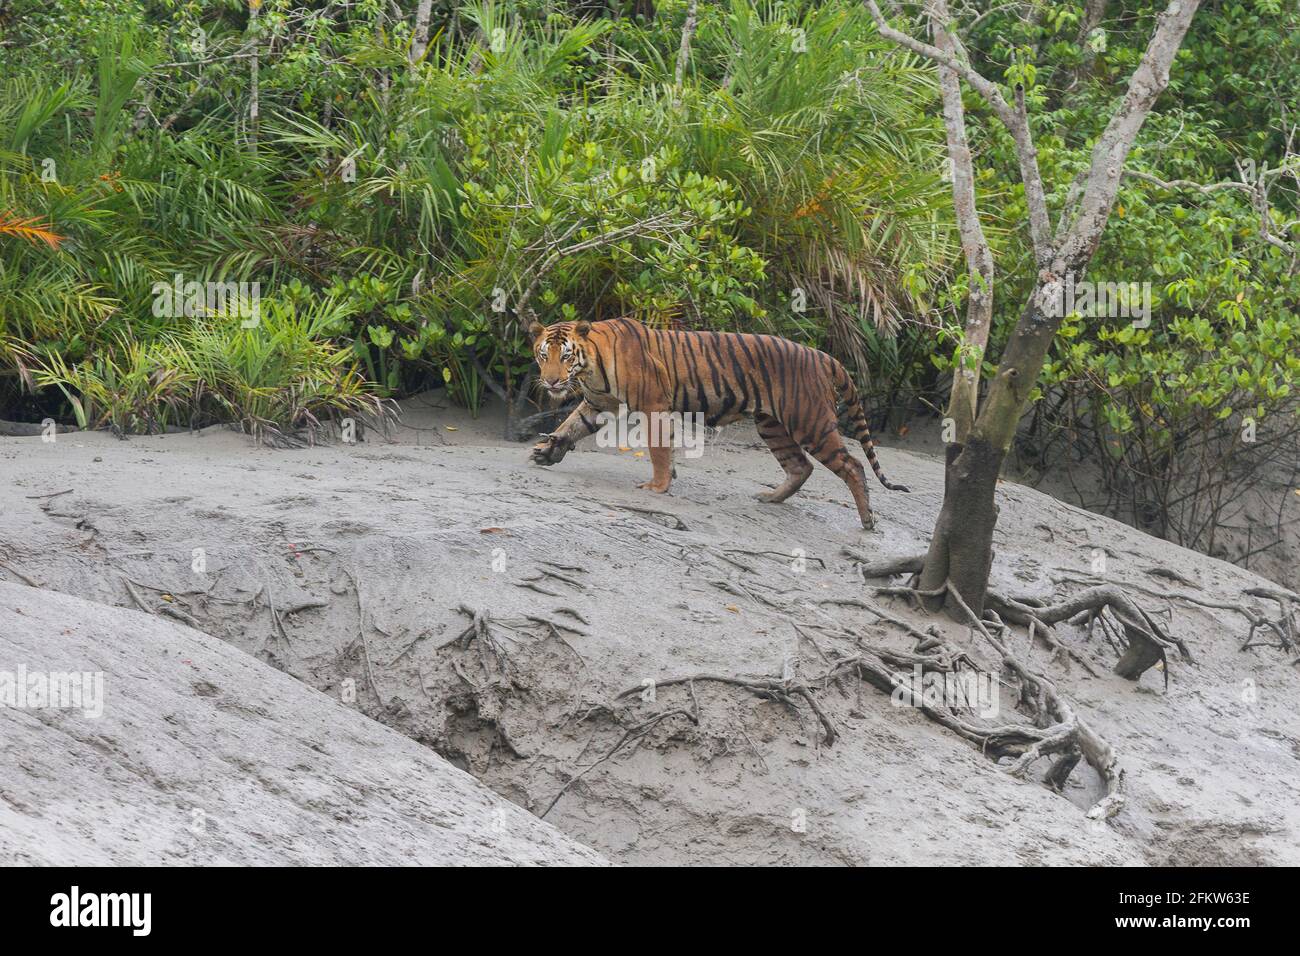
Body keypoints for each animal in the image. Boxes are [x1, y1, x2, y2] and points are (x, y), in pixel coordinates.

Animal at [522, 319, 909, 530]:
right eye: (543, 355)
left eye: (566, 355)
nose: (552, 382)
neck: (591, 366)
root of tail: (824, 355)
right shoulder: (597, 402)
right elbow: (571, 426)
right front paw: (546, 452)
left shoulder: (654, 405)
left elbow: (659, 450)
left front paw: (658, 487)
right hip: (772, 425)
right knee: (800, 466)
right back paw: (770, 497)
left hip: (809, 421)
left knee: (853, 465)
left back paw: (868, 520)